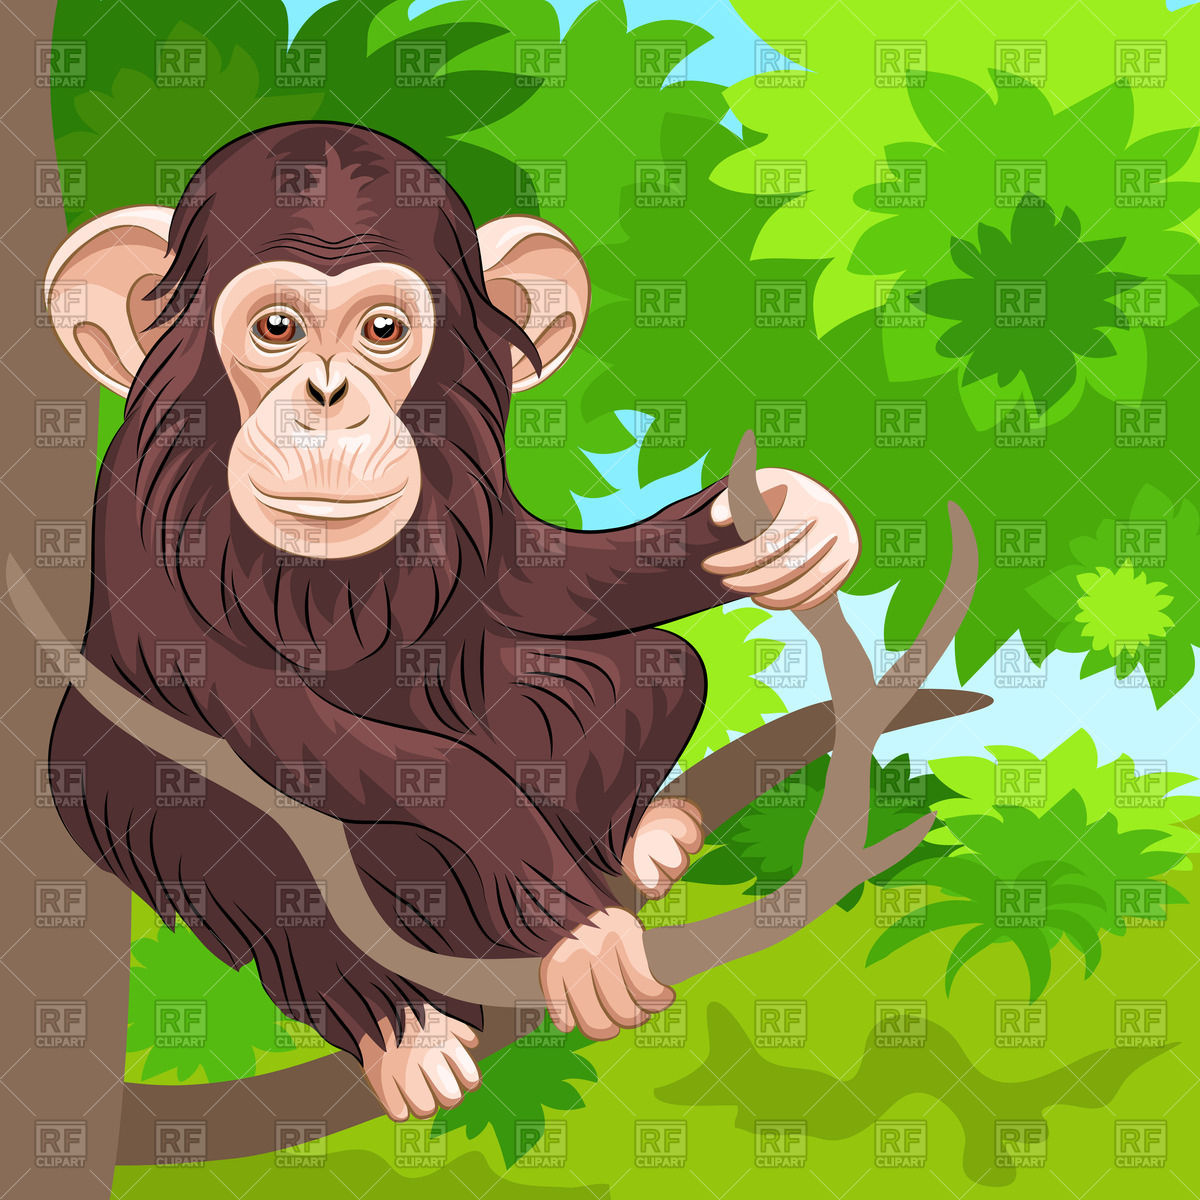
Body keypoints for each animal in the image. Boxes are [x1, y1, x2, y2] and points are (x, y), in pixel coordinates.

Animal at [43, 123, 860, 1120]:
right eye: (276, 329)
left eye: (383, 331)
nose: (327, 396)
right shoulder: (139, 518)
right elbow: (299, 726)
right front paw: (578, 929)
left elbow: (544, 578)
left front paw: (777, 525)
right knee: (238, 826)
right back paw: (408, 1032)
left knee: (648, 669)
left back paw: (642, 837)